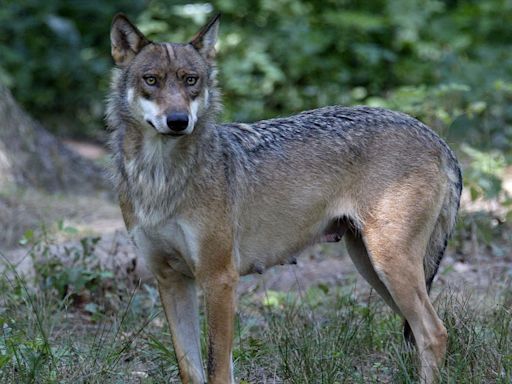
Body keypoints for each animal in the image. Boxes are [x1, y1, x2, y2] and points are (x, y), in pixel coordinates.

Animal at [106, 12, 462, 384]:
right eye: (151, 80)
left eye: (191, 80)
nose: (178, 121)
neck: (159, 177)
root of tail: (437, 139)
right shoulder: (171, 280)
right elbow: (190, 369)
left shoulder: (219, 279)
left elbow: (218, 369)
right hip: (374, 269)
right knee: (423, 333)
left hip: (389, 266)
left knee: (435, 333)